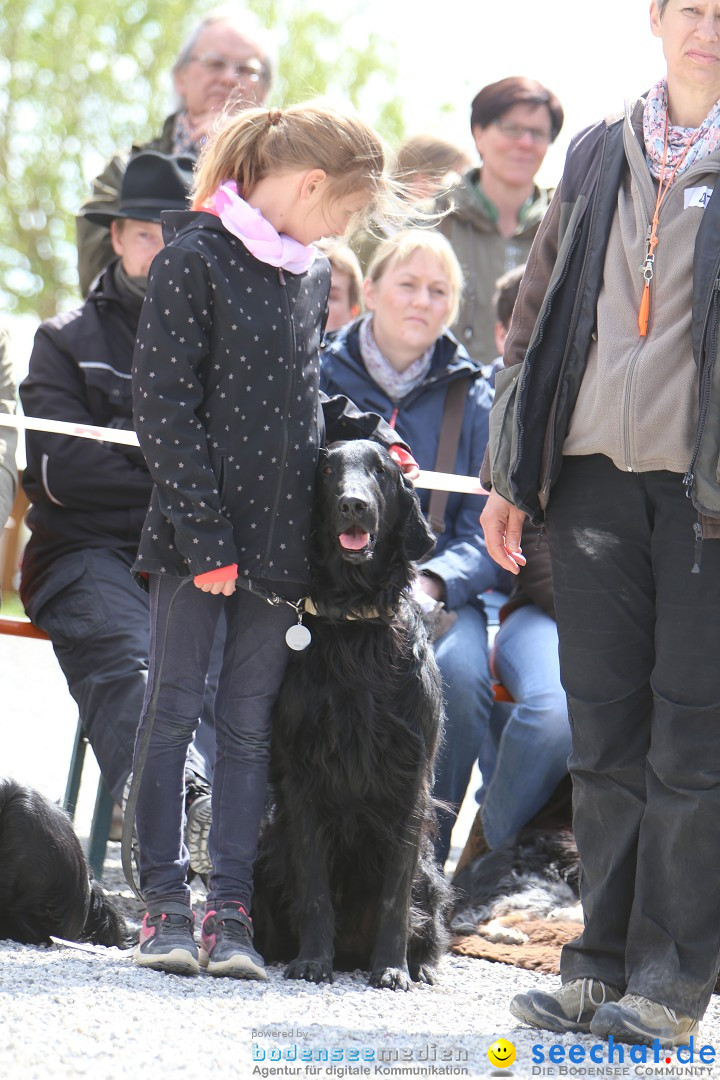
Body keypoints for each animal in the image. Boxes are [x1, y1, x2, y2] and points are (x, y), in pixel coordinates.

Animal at [254, 436, 451, 989]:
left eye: (382, 470)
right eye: (325, 469)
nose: (353, 505)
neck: (355, 624)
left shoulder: (410, 781)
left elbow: (395, 896)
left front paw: (392, 967)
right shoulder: (299, 777)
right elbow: (314, 886)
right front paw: (311, 961)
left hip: (433, 872)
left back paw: (420, 965)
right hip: (266, 852)